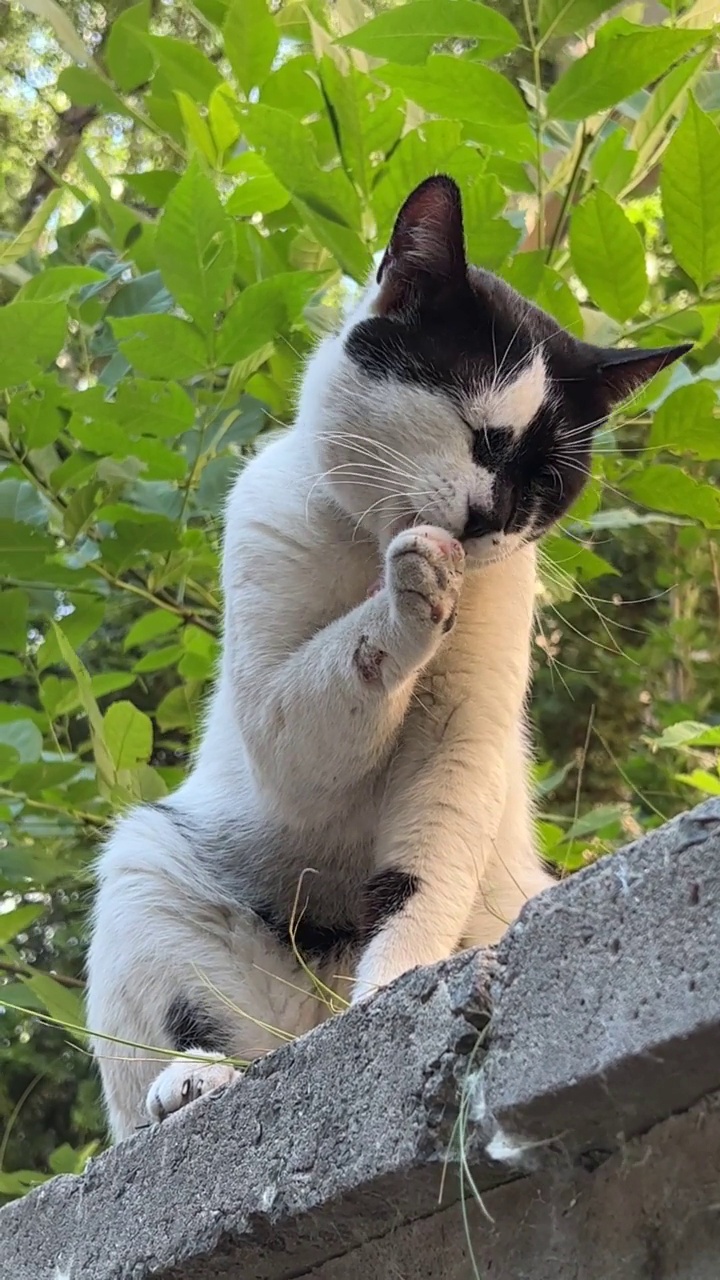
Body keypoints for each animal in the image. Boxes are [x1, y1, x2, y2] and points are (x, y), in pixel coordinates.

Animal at [85, 172, 681, 1141]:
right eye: (481, 436)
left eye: (546, 485)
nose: (486, 520)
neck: (366, 547)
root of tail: (306, 1023)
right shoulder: (275, 685)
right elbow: (330, 691)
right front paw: (414, 587)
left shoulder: (462, 737)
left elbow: (416, 882)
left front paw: (393, 992)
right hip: (147, 870)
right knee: (155, 1079)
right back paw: (193, 1082)